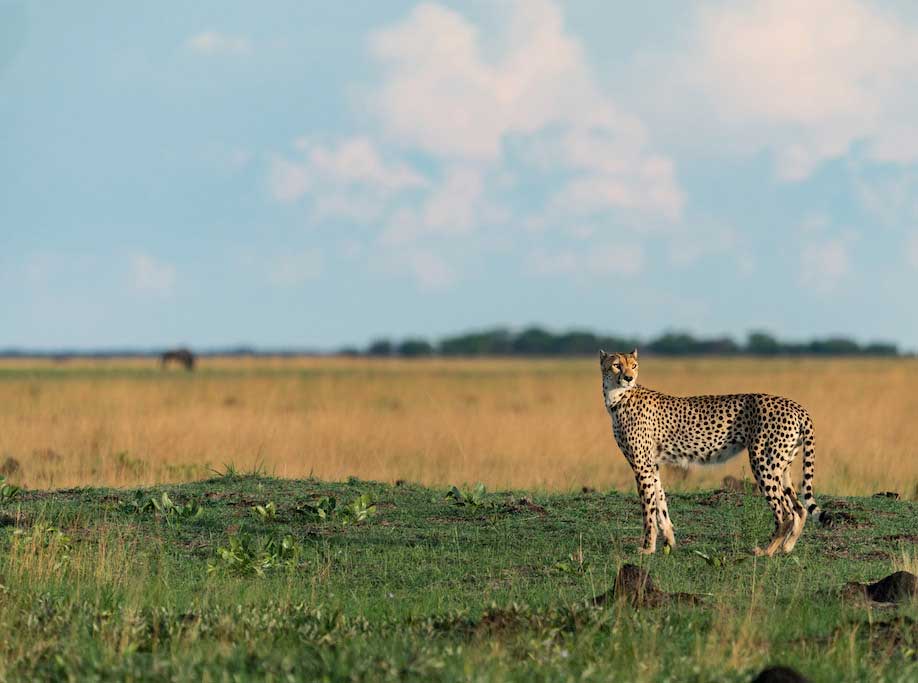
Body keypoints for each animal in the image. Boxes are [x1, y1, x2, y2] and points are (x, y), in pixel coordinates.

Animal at [600, 350, 824, 560]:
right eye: (617, 365)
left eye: (634, 365)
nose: (628, 378)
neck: (617, 397)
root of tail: (796, 406)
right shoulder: (652, 465)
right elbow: (660, 503)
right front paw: (670, 543)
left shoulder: (642, 466)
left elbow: (648, 510)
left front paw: (647, 548)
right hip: (782, 465)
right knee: (800, 509)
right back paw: (786, 547)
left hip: (763, 462)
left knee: (785, 512)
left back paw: (766, 551)